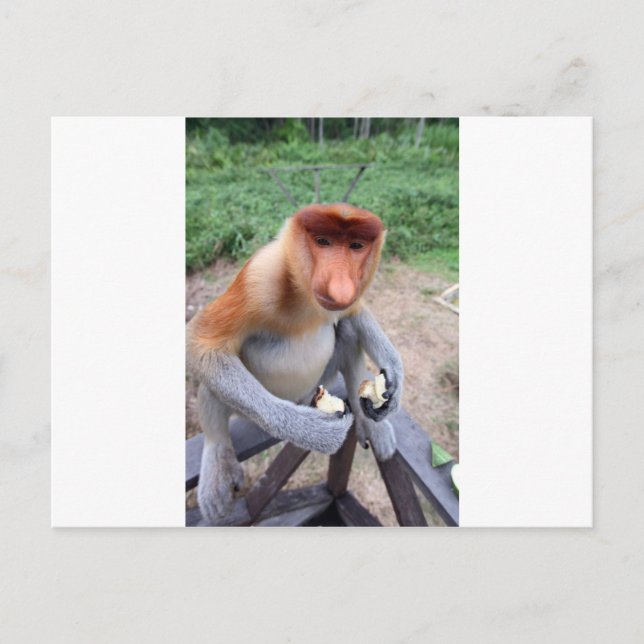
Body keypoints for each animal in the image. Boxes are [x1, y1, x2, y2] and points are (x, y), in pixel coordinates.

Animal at [186, 203, 404, 524]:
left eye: (356, 246)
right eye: (323, 242)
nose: (340, 287)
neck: (304, 297)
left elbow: (354, 310)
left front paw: (394, 375)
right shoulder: (259, 277)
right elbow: (202, 343)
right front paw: (312, 431)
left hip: (318, 382)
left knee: (347, 331)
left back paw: (370, 422)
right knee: (212, 379)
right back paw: (217, 464)